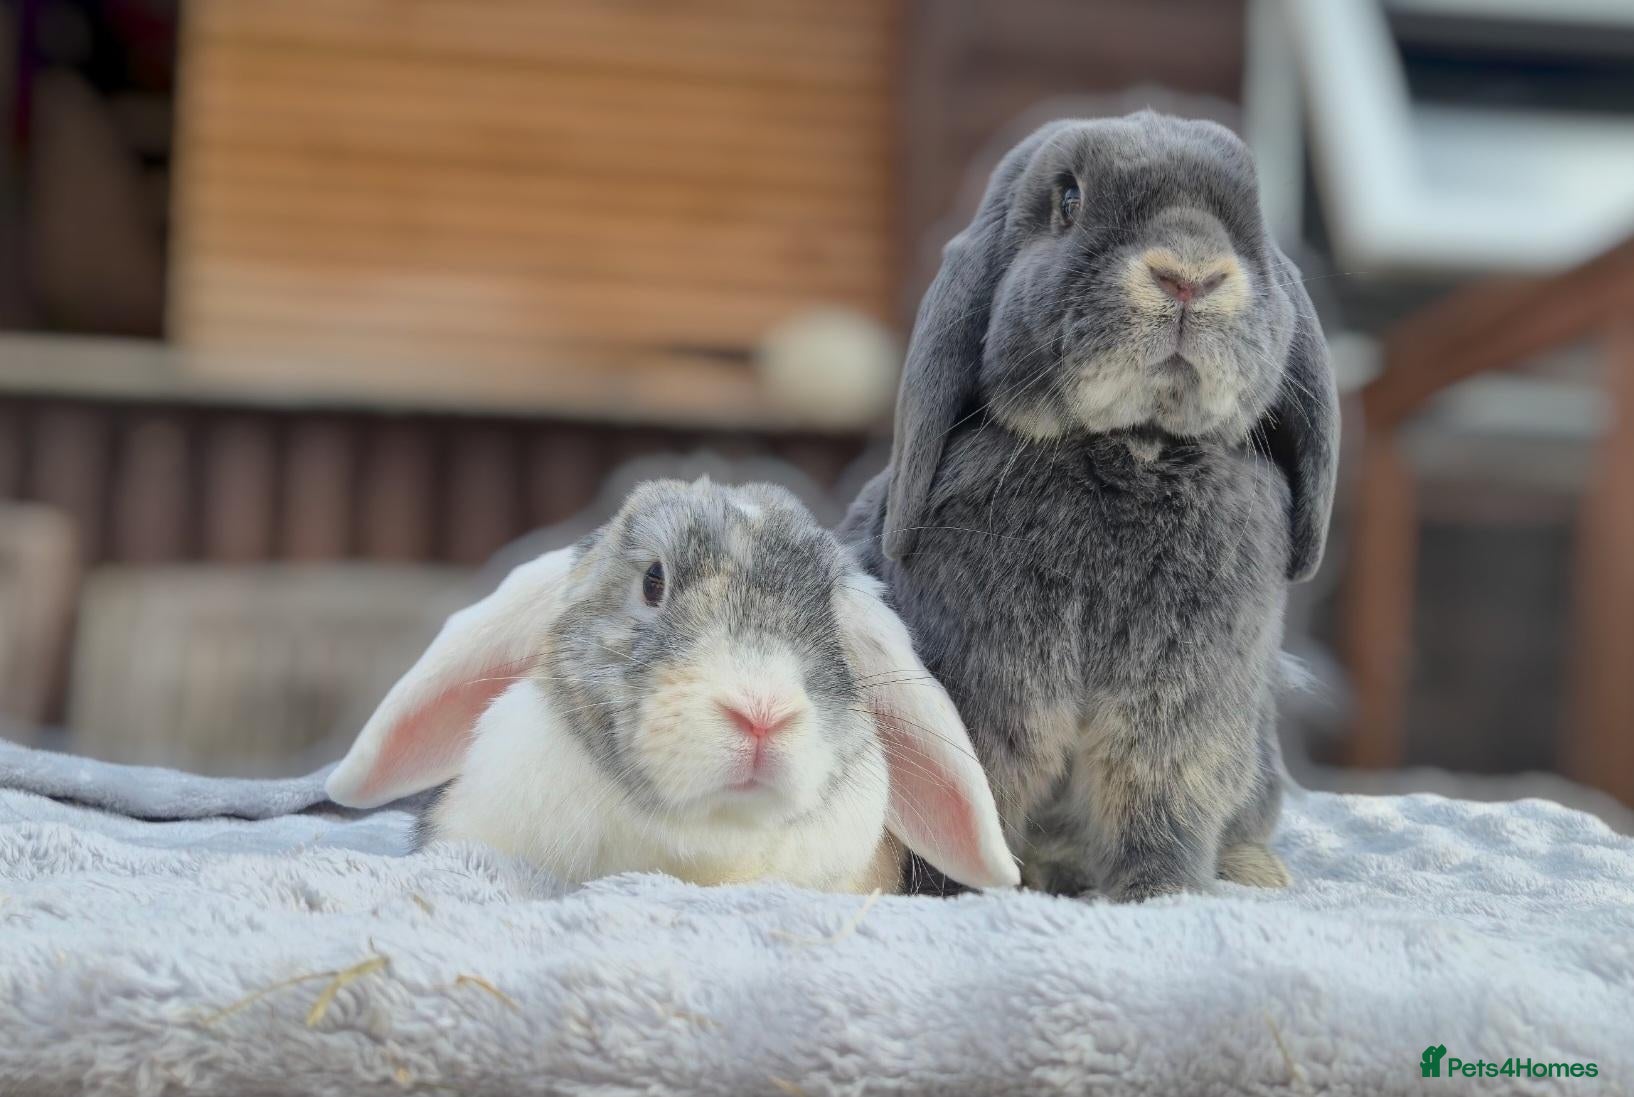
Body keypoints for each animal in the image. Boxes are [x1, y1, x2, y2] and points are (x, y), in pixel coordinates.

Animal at [838, 112, 1338, 902]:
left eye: (1252, 222)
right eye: (1068, 201)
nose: (1191, 275)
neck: (1131, 448)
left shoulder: (1180, 715)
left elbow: (1161, 808)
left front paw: (1164, 895)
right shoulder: (990, 696)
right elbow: (980, 799)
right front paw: (960, 895)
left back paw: (1256, 871)